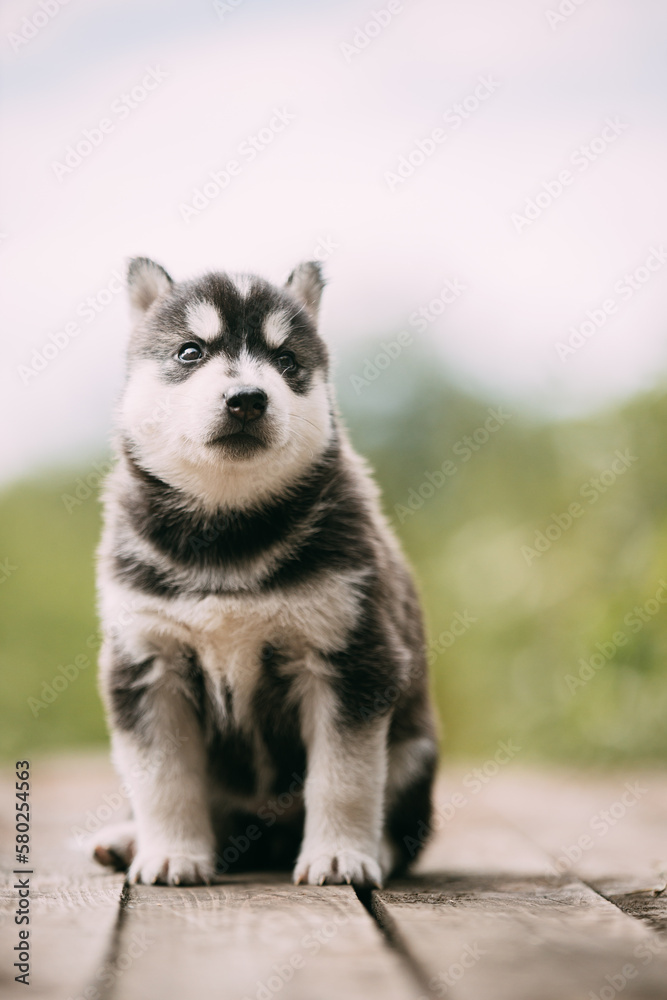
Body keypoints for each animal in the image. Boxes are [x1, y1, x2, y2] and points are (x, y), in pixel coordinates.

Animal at [94, 256, 438, 884]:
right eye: (190, 352)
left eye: (287, 362)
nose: (248, 399)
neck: (228, 531)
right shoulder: (147, 663)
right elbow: (162, 779)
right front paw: (172, 853)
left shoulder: (352, 660)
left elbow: (345, 777)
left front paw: (338, 854)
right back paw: (126, 840)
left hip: (413, 750)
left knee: (406, 826)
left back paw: (376, 849)